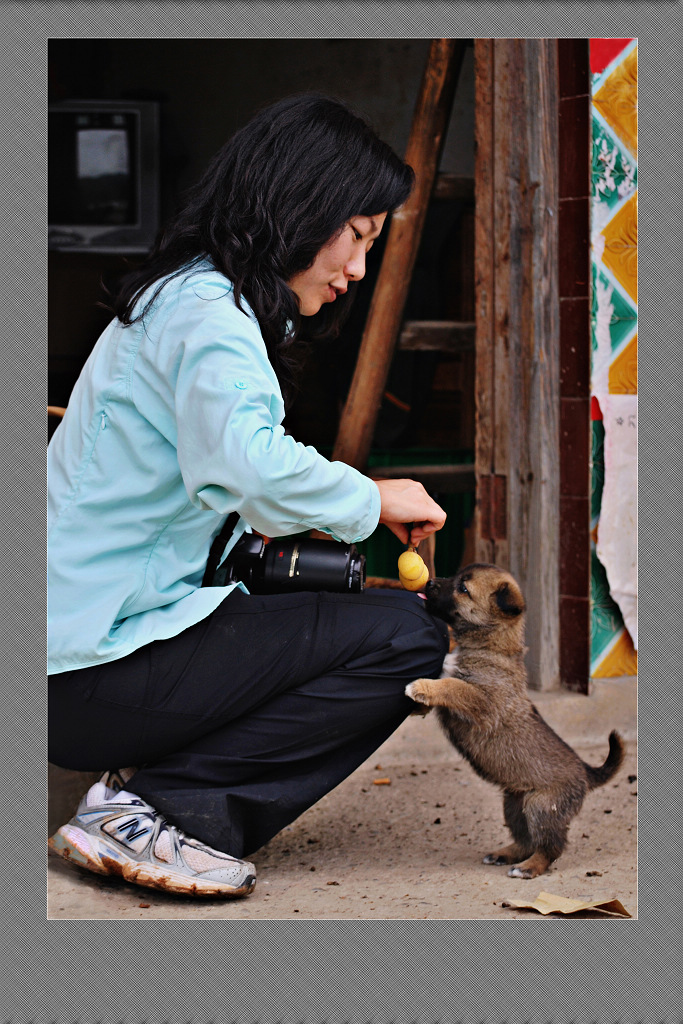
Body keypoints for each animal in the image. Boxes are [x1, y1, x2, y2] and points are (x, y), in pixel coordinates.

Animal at [405, 565, 626, 876]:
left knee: (550, 846)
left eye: (463, 588)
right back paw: (505, 854)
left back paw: (529, 867)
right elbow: (444, 682)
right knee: (526, 839)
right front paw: (416, 704)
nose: (429, 583)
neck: (490, 645)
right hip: (513, 803)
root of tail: (585, 772)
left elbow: (451, 685)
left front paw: (420, 688)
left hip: (540, 805)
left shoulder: (481, 700)